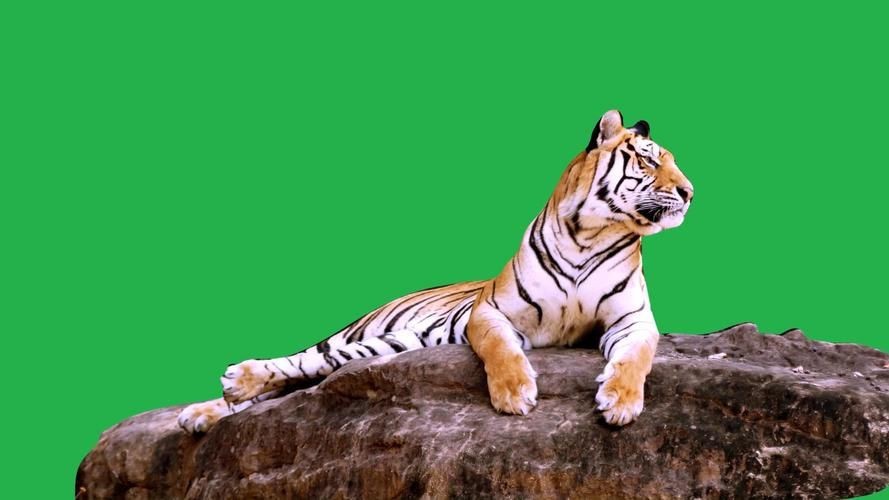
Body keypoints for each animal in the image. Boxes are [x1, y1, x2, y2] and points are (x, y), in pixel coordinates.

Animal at [177, 110, 694, 433]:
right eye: (649, 159)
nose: (690, 192)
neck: (592, 234)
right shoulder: (490, 312)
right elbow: (500, 349)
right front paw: (514, 394)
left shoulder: (632, 319)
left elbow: (636, 356)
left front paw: (620, 403)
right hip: (353, 338)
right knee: (298, 362)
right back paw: (221, 392)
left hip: (387, 345)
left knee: (300, 377)